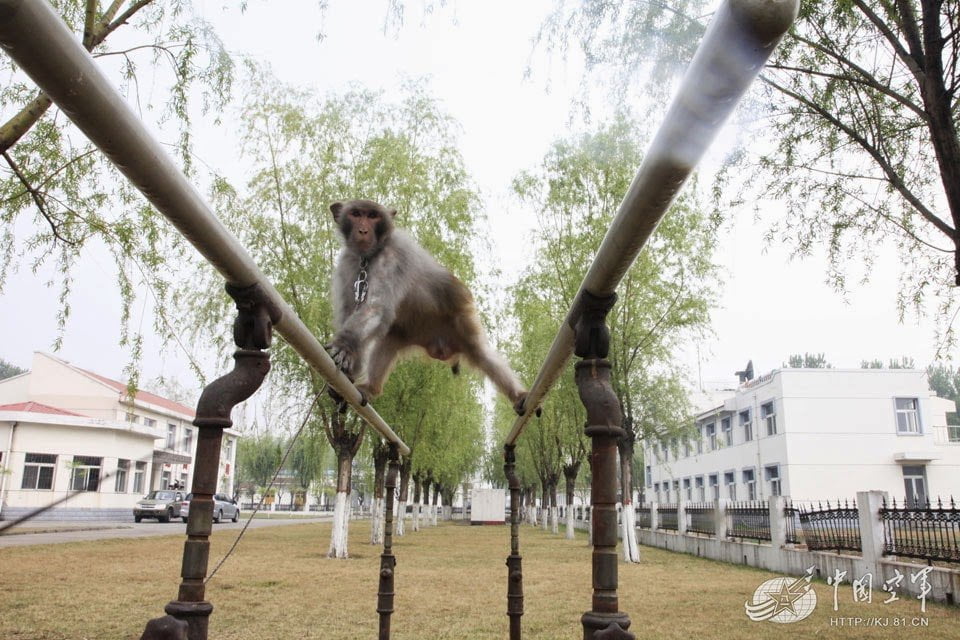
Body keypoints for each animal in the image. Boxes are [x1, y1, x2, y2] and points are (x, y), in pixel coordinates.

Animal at [328, 196, 524, 416]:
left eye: (372, 216)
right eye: (356, 214)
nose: (363, 230)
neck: (369, 256)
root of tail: (440, 347)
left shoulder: (394, 255)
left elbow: (376, 307)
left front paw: (345, 345)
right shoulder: (348, 261)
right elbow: (350, 311)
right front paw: (349, 370)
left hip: (462, 322)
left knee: (482, 355)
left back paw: (518, 395)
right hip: (411, 333)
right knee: (389, 339)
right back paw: (371, 388)